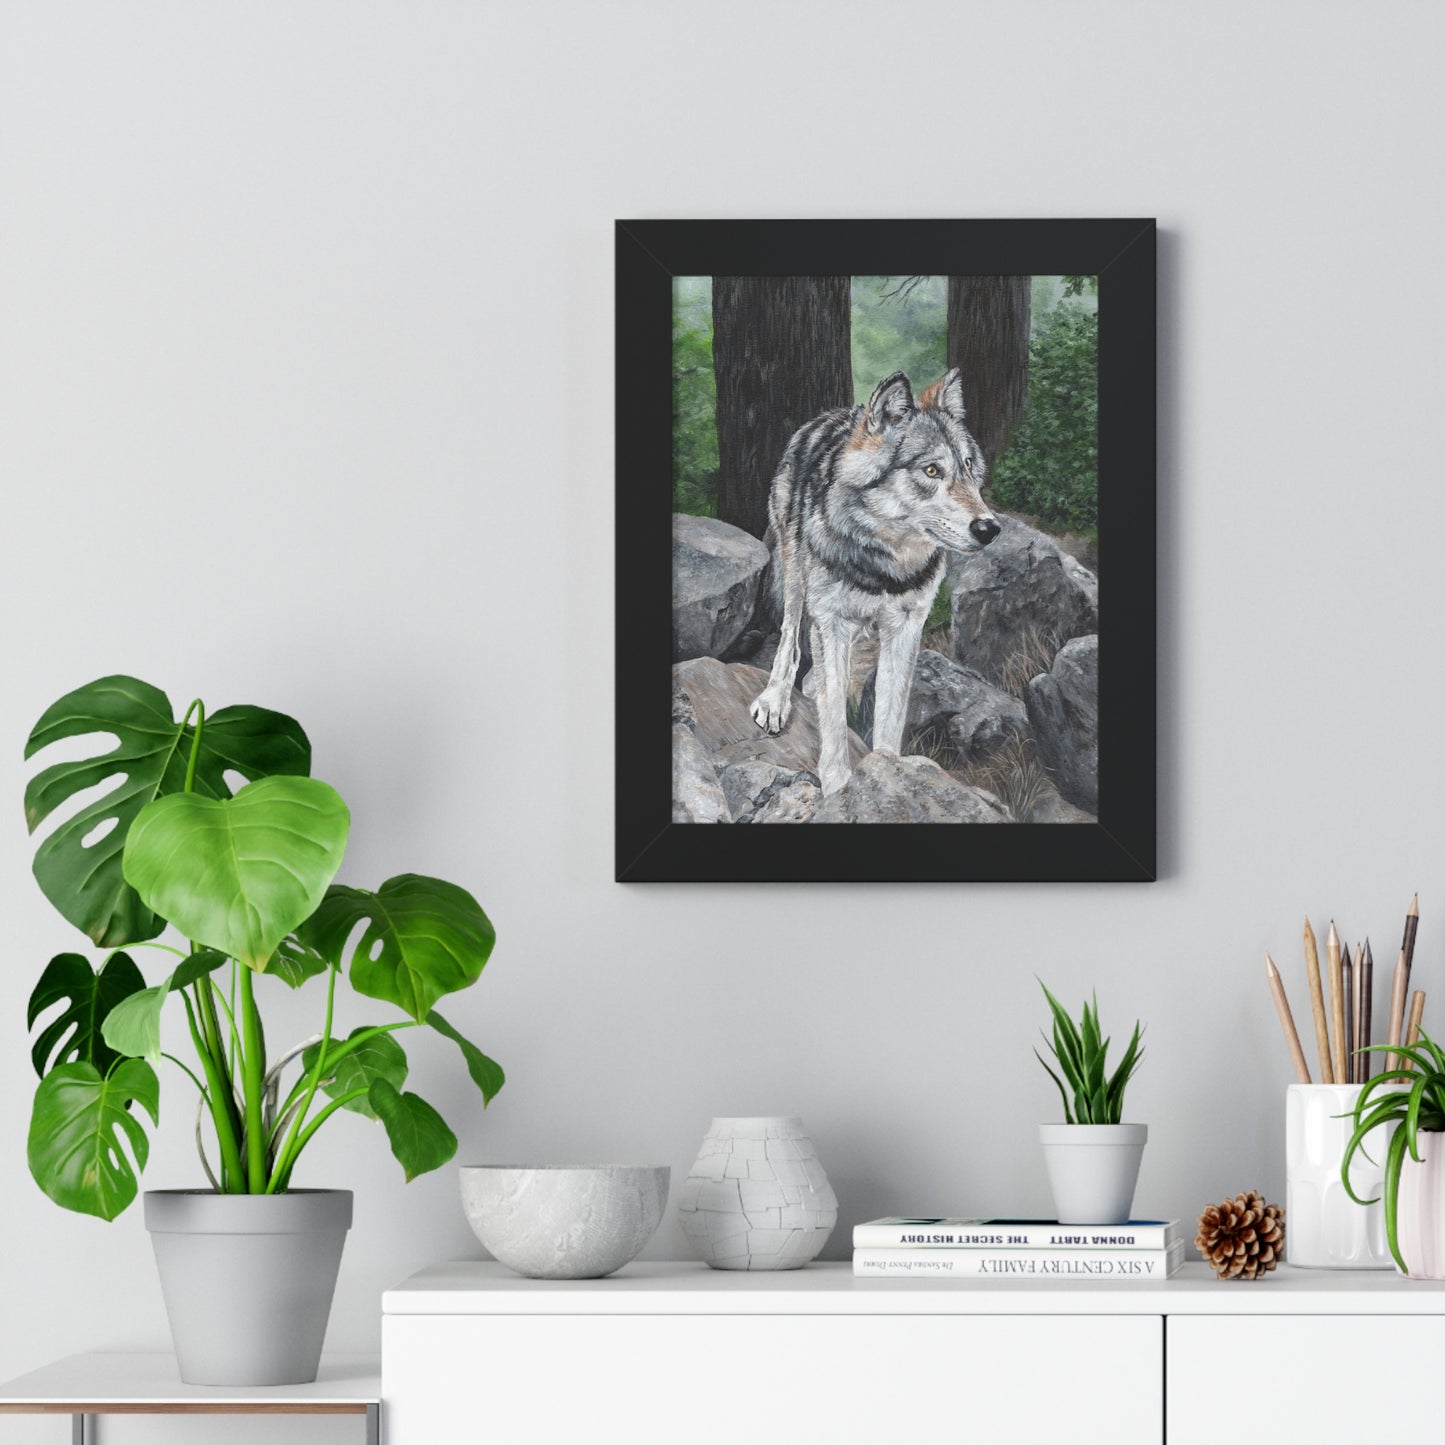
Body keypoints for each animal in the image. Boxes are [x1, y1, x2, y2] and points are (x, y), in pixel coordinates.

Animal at [749, 369, 1002, 796]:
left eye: (968, 465)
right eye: (931, 471)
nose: (990, 528)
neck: (886, 566)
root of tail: (833, 414)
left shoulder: (906, 627)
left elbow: (889, 714)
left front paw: (889, 774)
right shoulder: (830, 620)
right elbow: (834, 715)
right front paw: (838, 787)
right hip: (795, 573)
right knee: (789, 638)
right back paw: (776, 698)